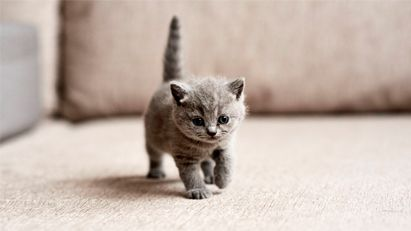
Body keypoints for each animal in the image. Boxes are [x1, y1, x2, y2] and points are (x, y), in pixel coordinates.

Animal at [145, 16, 246, 200]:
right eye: (198, 121)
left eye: (223, 119)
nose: (212, 132)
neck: (206, 146)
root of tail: (170, 80)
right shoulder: (184, 156)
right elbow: (191, 174)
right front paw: (198, 190)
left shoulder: (225, 144)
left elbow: (227, 161)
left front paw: (222, 180)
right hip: (152, 136)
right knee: (154, 154)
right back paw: (156, 172)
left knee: (206, 161)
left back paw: (211, 176)